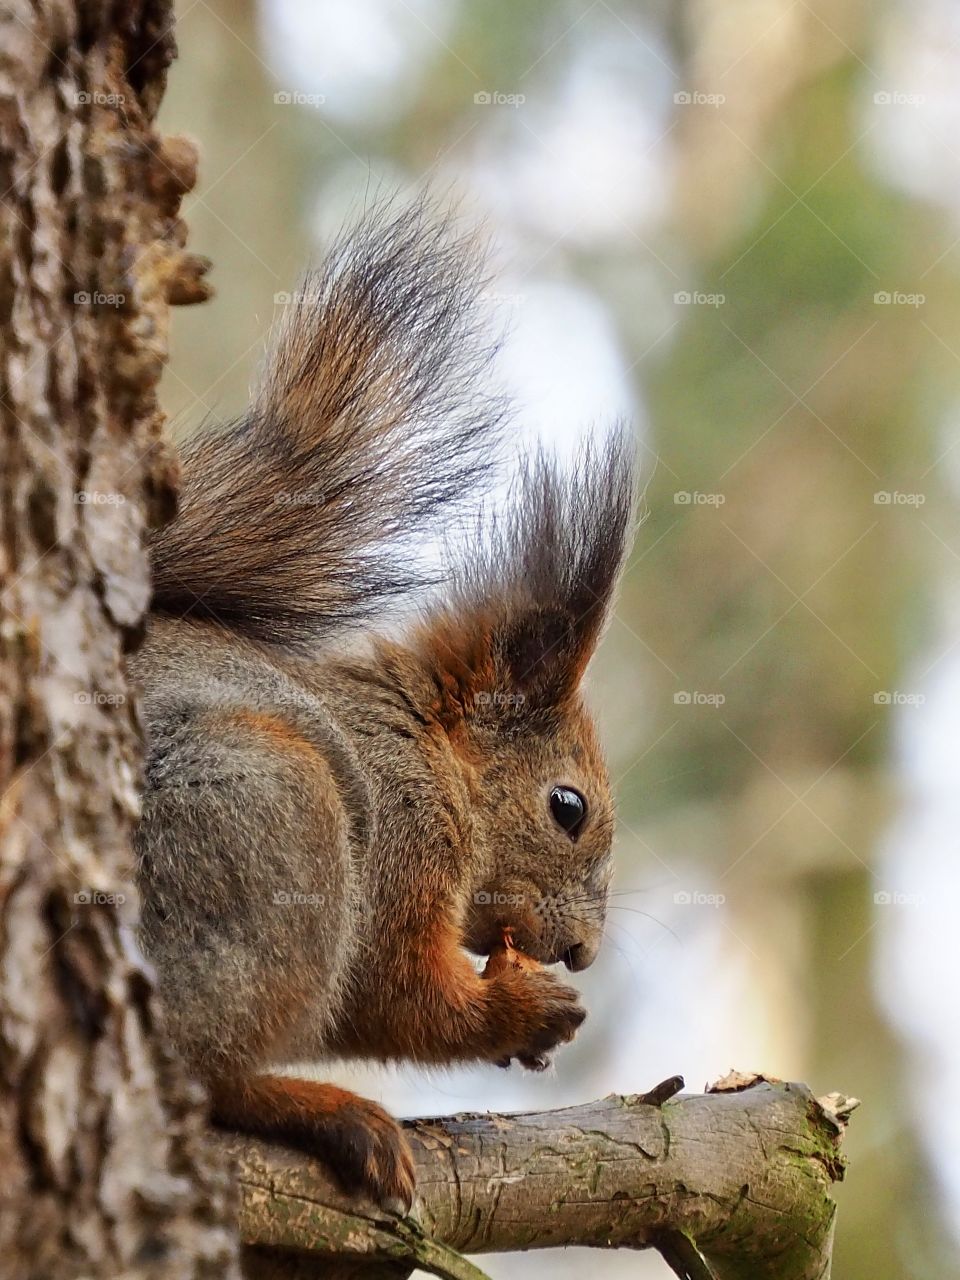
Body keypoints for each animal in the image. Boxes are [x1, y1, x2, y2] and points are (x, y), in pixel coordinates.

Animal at [131, 202, 637, 1215]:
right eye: (567, 807)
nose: (584, 953)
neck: (430, 751)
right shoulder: (405, 837)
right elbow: (393, 994)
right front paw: (521, 1011)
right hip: (266, 820)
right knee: (200, 1068)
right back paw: (328, 1111)